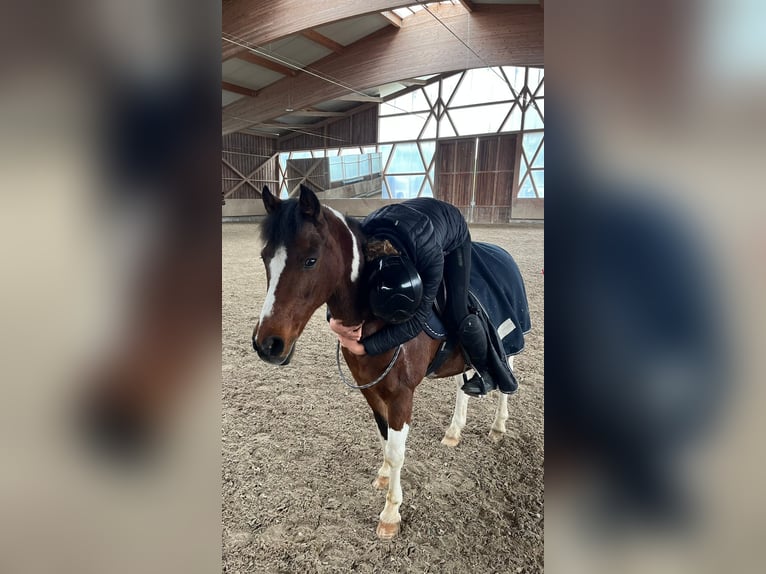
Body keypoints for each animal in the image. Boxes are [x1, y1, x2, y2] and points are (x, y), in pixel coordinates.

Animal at [252, 184, 517, 540]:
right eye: (266, 258)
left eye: (310, 260)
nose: (267, 344)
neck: (375, 322)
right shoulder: (371, 390)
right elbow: (383, 438)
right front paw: (382, 475)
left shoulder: (401, 396)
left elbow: (397, 450)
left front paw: (391, 513)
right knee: (463, 385)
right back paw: (454, 431)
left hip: (507, 345)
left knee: (503, 380)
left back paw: (498, 426)